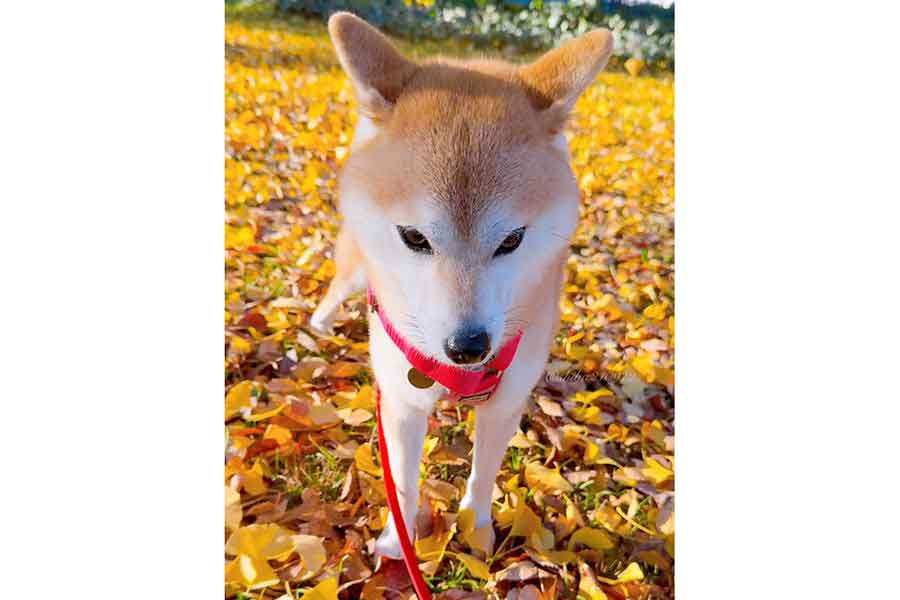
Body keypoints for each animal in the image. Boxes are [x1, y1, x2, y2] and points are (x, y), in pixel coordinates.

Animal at [310, 12, 612, 564]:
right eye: (413, 237)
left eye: (512, 240)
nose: (468, 347)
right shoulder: (402, 401)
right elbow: (404, 483)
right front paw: (397, 543)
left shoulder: (506, 401)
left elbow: (483, 476)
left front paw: (476, 532)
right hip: (357, 268)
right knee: (339, 284)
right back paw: (319, 323)